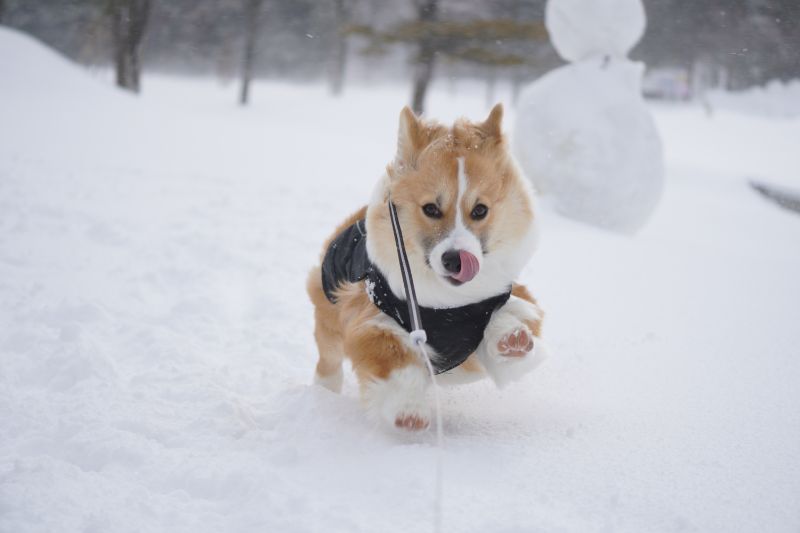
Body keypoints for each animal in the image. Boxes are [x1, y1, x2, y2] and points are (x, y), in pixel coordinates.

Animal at [306, 105, 544, 432]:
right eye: (431, 208)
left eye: (480, 210)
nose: (456, 260)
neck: (448, 307)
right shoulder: (371, 320)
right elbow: (394, 356)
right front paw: (409, 412)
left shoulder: (493, 307)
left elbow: (510, 317)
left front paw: (510, 338)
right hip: (328, 313)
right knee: (328, 358)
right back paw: (323, 392)